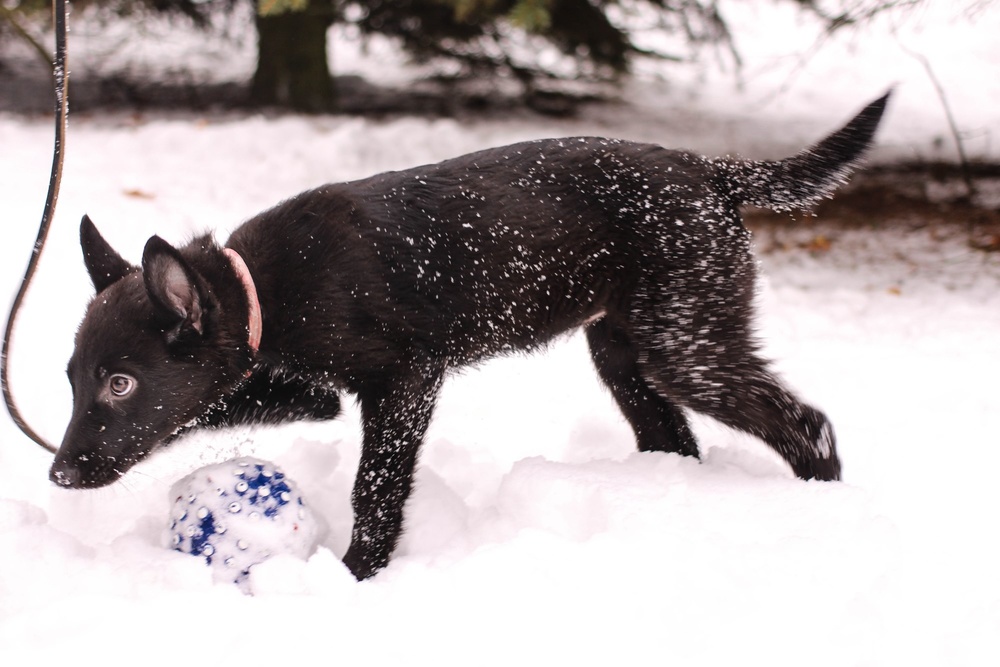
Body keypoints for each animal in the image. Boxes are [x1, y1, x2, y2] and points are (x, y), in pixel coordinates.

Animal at [50, 94, 888, 580]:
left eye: (119, 381)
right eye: (73, 378)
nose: (59, 474)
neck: (264, 285)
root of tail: (711, 171)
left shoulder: (405, 380)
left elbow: (375, 486)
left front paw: (358, 572)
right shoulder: (309, 389)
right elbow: (208, 405)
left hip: (685, 346)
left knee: (807, 422)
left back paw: (823, 508)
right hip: (626, 349)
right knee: (672, 434)